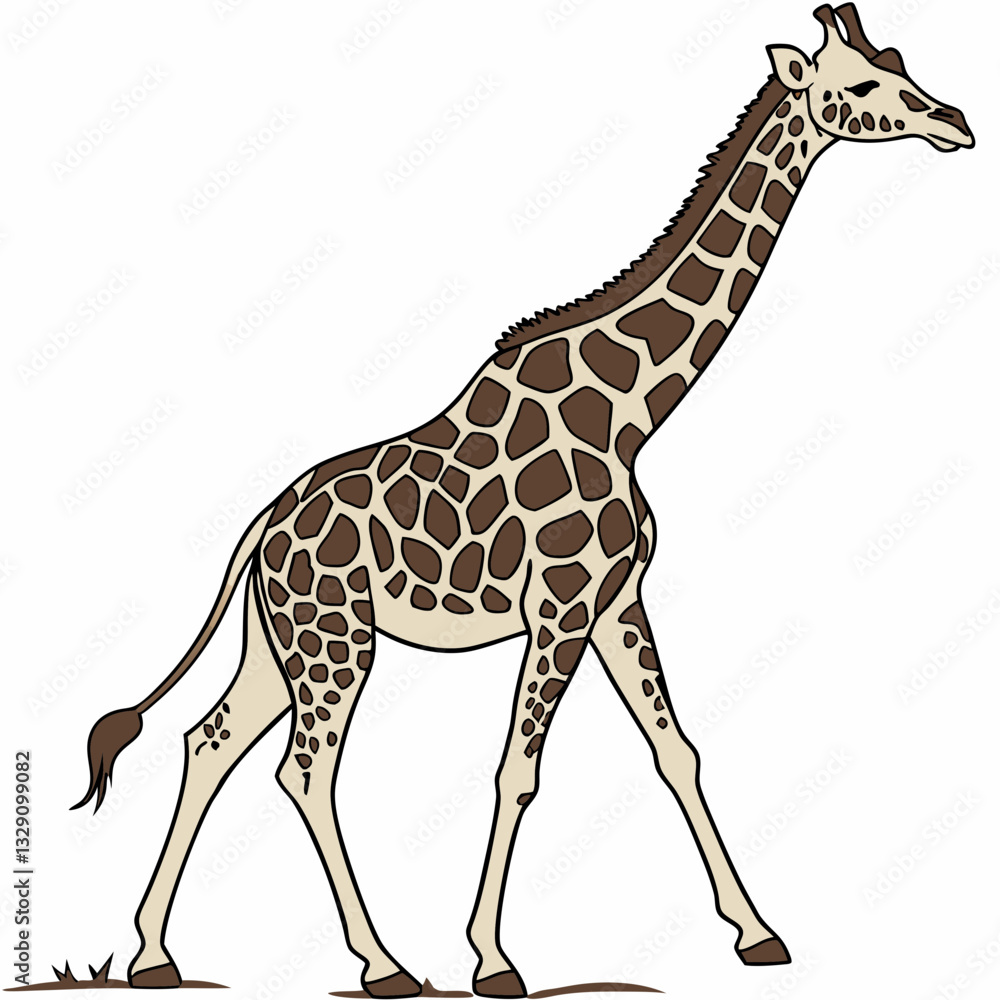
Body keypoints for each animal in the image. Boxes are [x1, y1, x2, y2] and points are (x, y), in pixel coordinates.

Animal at [73, 5, 973, 997]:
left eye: (901, 60)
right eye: (861, 85)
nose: (957, 123)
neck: (631, 414)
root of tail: (265, 522)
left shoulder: (617, 601)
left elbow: (678, 751)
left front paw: (757, 933)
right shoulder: (560, 608)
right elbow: (519, 771)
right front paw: (493, 959)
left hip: (281, 644)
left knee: (211, 740)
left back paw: (154, 953)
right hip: (334, 638)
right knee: (304, 771)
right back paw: (382, 963)